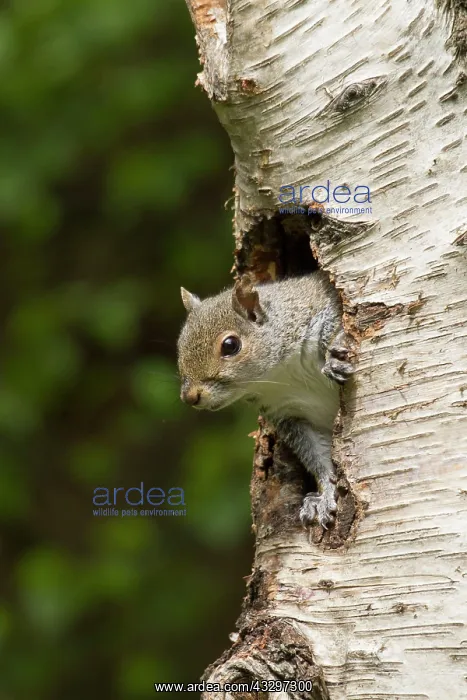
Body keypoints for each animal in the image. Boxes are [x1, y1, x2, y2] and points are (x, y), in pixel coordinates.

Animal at [177, 272, 354, 529]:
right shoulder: (289, 414)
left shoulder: (322, 311)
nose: (190, 396)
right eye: (180, 345)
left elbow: (341, 325)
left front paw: (336, 355)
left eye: (230, 345)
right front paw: (325, 495)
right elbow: (318, 458)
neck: (281, 372)